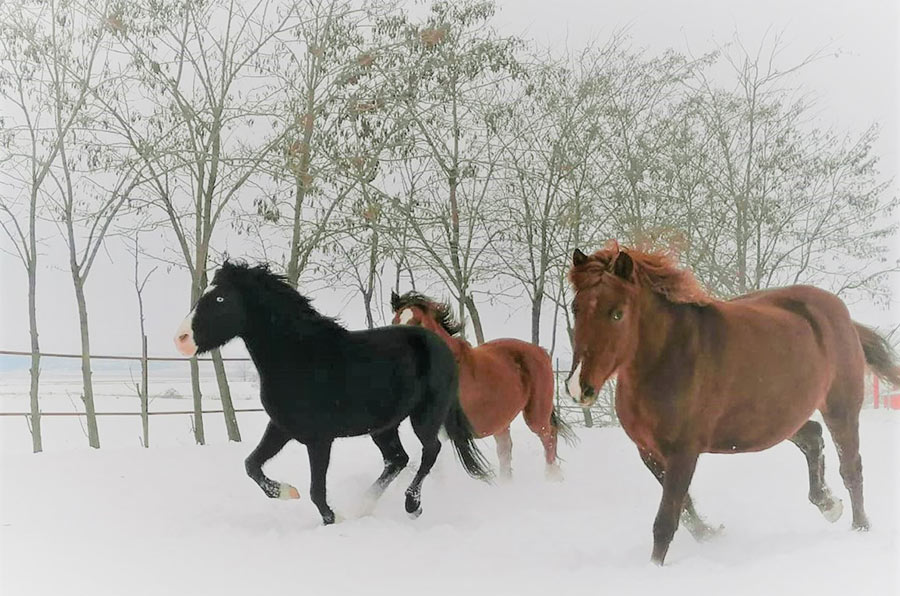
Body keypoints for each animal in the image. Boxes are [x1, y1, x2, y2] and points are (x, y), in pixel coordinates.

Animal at [176, 264, 492, 524]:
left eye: (220, 299)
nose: (181, 339)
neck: (298, 356)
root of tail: (442, 346)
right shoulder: (281, 427)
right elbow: (251, 465)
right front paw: (288, 492)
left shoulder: (319, 439)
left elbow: (316, 490)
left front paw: (333, 518)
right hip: (383, 426)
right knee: (397, 459)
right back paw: (364, 507)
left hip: (425, 415)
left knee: (430, 451)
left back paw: (411, 506)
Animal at [388, 290, 572, 480]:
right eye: (394, 321)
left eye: (417, 322)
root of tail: (541, 351)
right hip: (502, 421)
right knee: (506, 450)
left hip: (536, 415)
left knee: (549, 438)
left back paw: (551, 477)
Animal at [568, 242, 900, 564]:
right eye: (575, 308)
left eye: (617, 313)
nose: (579, 387)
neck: (668, 355)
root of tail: (842, 314)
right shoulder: (649, 452)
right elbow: (685, 509)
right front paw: (712, 535)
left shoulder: (684, 452)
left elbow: (666, 520)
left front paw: (654, 567)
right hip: (777, 417)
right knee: (812, 436)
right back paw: (829, 504)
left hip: (840, 408)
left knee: (851, 468)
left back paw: (859, 528)